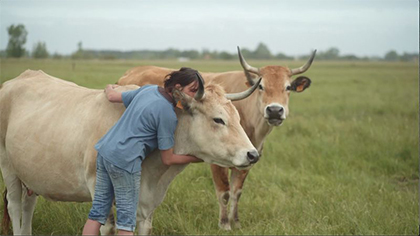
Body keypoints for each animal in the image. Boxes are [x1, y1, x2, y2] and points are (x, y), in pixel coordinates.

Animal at [0, 69, 260, 234]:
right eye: (218, 119)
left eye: (238, 118)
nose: (253, 154)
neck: (156, 173)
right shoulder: (100, 192)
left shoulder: (145, 208)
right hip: (9, 168)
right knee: (14, 206)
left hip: (32, 174)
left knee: (28, 205)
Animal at [116, 46, 316, 230]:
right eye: (261, 86)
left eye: (288, 87)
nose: (274, 110)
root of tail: (131, 72)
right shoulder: (218, 162)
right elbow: (225, 193)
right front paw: (225, 224)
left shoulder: (248, 160)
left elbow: (237, 192)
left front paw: (236, 223)